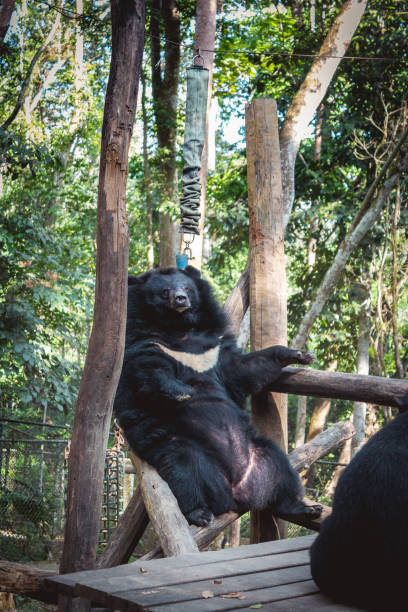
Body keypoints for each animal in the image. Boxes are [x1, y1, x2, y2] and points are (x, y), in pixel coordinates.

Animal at [112, 266, 322, 524]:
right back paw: (200, 512)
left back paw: (304, 508)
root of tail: (236, 492)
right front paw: (182, 392)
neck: (179, 329)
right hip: (183, 449)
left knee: (282, 472)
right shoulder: (143, 340)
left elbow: (243, 368)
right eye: (165, 291)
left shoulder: (214, 347)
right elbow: (148, 369)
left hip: (262, 452)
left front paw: (300, 354)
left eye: (187, 287)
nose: (180, 299)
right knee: (185, 473)